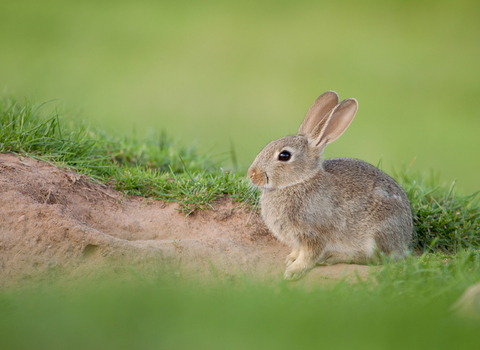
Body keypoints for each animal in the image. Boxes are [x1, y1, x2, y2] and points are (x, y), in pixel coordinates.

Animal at [248, 91, 412, 278]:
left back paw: (333, 257)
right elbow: (298, 251)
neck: (300, 181)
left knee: (375, 259)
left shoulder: (314, 233)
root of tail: (405, 240)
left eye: (284, 155)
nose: (251, 174)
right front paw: (291, 259)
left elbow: (310, 255)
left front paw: (294, 271)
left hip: (379, 233)